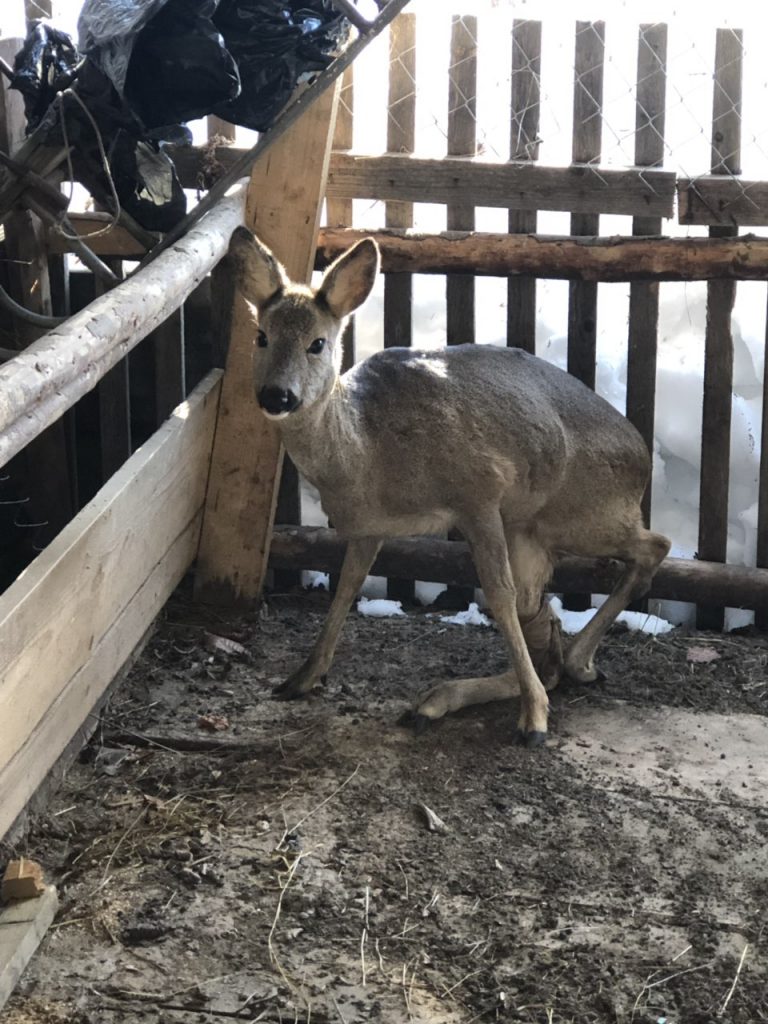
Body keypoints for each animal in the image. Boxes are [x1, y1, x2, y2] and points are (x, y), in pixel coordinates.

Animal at [231, 228, 671, 749]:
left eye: (317, 343)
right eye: (261, 335)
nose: (277, 395)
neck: (368, 456)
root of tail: (642, 459)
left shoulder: (479, 491)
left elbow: (497, 594)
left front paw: (534, 719)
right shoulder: (367, 527)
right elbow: (346, 586)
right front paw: (302, 677)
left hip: (583, 512)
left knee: (654, 546)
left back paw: (573, 668)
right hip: (533, 532)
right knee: (543, 620)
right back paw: (445, 697)